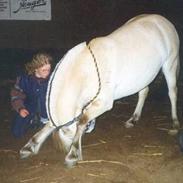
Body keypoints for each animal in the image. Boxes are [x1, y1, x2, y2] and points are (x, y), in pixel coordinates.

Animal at [19, 14, 179, 168]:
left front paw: (73, 154)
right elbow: (49, 125)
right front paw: (30, 146)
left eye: (69, 137)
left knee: (172, 93)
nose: (66, 148)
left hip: (170, 64)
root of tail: (163, 21)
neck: (86, 71)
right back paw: (133, 119)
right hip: (142, 76)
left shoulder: (104, 103)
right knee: (144, 92)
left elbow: (82, 121)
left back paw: (175, 125)